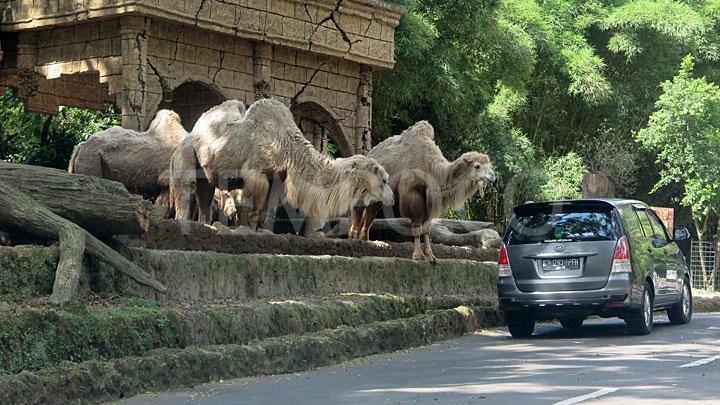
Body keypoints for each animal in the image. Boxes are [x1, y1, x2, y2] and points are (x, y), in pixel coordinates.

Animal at [170, 97, 394, 235]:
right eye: (384, 180)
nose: (391, 197)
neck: (287, 147)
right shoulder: (257, 174)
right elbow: (254, 209)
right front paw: (249, 231)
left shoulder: (279, 178)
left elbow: (268, 211)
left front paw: (265, 232)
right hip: (186, 155)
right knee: (185, 191)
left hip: (205, 172)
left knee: (204, 197)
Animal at [348, 120, 496, 262]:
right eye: (477, 166)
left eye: (489, 165)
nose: (492, 176)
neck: (432, 169)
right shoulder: (412, 193)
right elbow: (417, 226)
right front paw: (418, 255)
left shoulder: (429, 200)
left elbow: (427, 229)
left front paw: (431, 256)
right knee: (358, 207)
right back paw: (353, 236)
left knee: (371, 210)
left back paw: (365, 239)